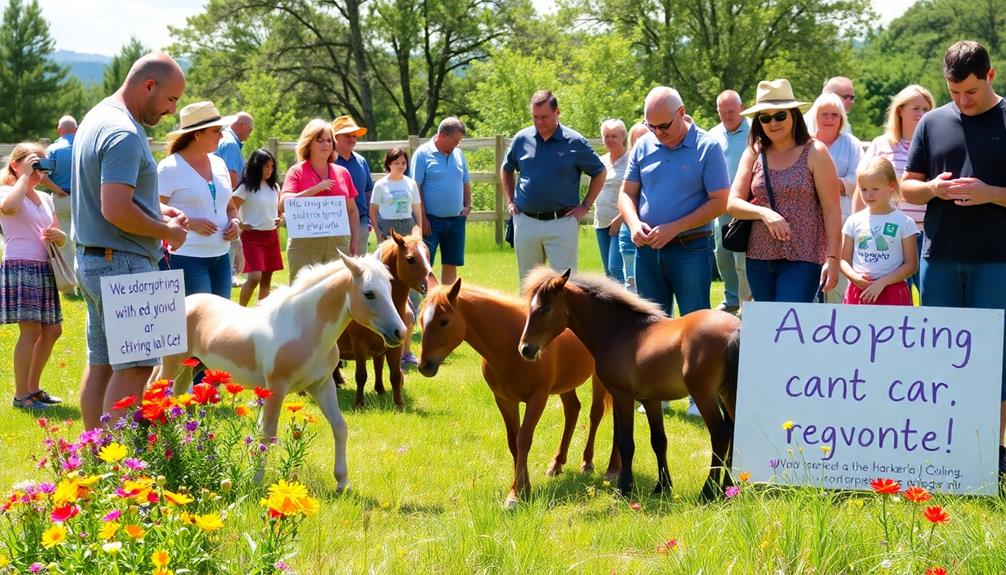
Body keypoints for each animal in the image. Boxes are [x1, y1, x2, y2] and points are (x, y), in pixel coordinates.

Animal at [155, 251, 404, 490]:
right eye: (369, 293)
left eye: (390, 286)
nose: (399, 332)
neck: (303, 329)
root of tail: (188, 301)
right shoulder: (276, 388)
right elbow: (267, 434)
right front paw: (256, 482)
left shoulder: (322, 386)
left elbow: (340, 427)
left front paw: (343, 482)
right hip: (172, 364)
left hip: (193, 365)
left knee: (179, 397)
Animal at [338, 229, 432, 408]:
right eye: (410, 259)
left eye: (428, 255)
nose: (426, 286)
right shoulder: (359, 344)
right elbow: (361, 375)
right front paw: (359, 403)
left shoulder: (396, 342)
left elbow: (395, 374)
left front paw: (399, 404)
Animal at [416, 279, 619, 506]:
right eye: (421, 320)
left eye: (444, 321)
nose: (424, 366)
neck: (510, 345)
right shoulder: (505, 400)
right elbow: (513, 442)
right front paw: (524, 487)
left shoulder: (537, 398)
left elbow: (524, 439)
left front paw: (515, 495)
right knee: (573, 410)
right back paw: (557, 464)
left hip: (601, 380)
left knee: (598, 414)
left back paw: (602, 466)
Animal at [519, 267, 740, 500]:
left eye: (544, 309)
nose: (525, 349)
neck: (619, 331)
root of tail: (734, 329)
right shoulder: (651, 400)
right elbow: (659, 441)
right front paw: (662, 487)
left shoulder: (622, 396)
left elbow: (626, 443)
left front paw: (624, 488)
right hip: (727, 394)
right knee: (734, 432)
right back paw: (728, 488)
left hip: (704, 395)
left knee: (720, 435)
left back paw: (708, 492)